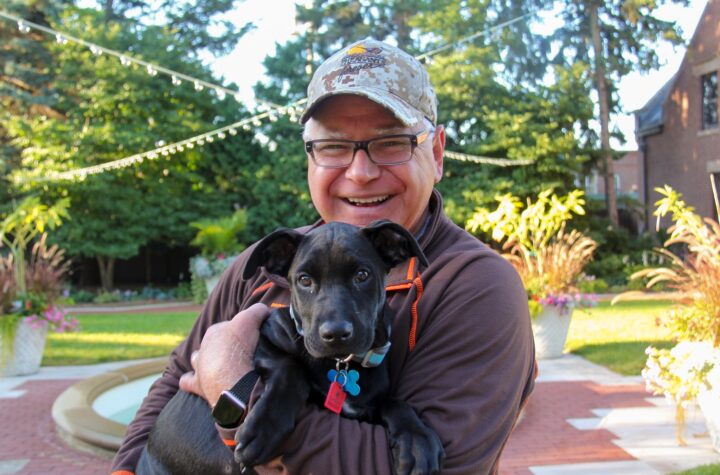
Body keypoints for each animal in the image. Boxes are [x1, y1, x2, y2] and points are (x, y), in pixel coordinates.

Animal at [134, 221, 438, 474]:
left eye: (362, 275)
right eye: (304, 280)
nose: (336, 334)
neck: (341, 364)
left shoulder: (368, 405)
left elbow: (395, 403)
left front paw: (417, 440)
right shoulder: (265, 338)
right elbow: (291, 369)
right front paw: (264, 428)